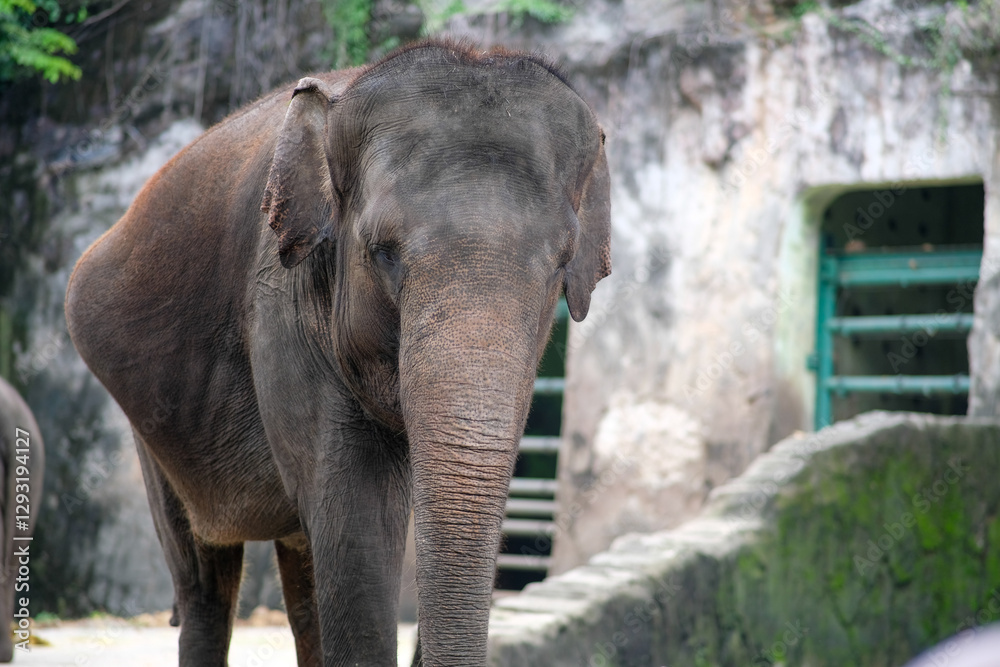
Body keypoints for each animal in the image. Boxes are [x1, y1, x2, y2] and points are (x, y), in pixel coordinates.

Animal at [65, 40, 610, 666]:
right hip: (150, 423)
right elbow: (358, 519)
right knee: (204, 577)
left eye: (561, 264)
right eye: (382, 251)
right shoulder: (283, 306)